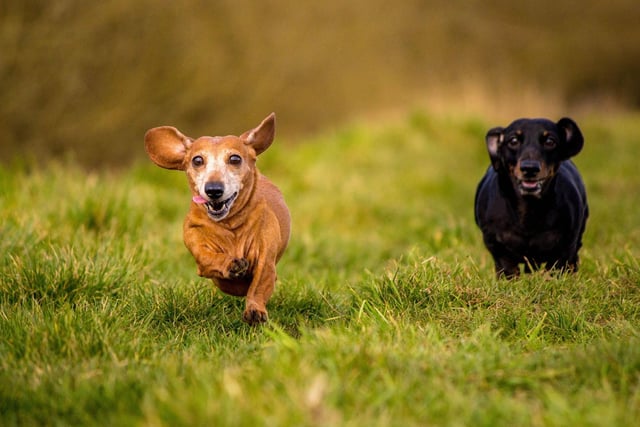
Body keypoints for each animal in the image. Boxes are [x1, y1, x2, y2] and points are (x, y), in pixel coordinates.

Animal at [144, 113, 290, 324]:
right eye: (197, 160)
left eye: (235, 158)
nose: (213, 189)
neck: (230, 225)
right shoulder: (197, 245)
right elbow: (209, 258)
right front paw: (231, 264)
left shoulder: (266, 260)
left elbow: (259, 285)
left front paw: (255, 310)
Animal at [472, 117, 588, 280]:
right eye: (513, 140)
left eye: (550, 141)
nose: (530, 168)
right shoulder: (496, 246)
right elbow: (507, 268)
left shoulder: (565, 246)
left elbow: (556, 267)